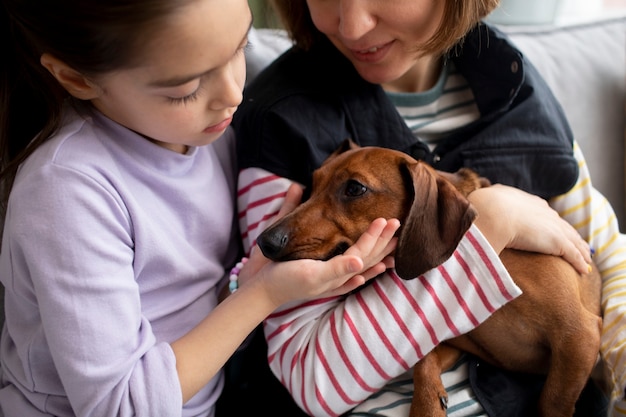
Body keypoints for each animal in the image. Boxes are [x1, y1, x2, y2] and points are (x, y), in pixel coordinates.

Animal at [255, 140, 600, 416]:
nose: (264, 242)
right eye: (312, 185)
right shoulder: (456, 340)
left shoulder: (579, 335)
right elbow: (424, 361)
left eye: (354, 188)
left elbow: (552, 402)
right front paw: (427, 404)